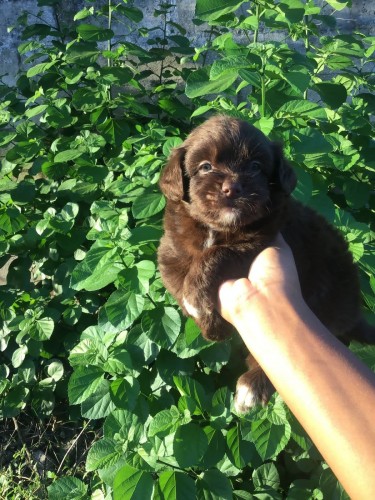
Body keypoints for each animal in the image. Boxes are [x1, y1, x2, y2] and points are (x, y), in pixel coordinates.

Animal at [157, 115, 374, 412]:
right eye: (205, 166)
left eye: (256, 167)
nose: (232, 188)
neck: (217, 229)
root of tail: (355, 313)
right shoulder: (170, 250)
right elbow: (177, 279)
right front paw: (212, 325)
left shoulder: (259, 241)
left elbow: (216, 255)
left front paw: (198, 300)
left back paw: (252, 386)